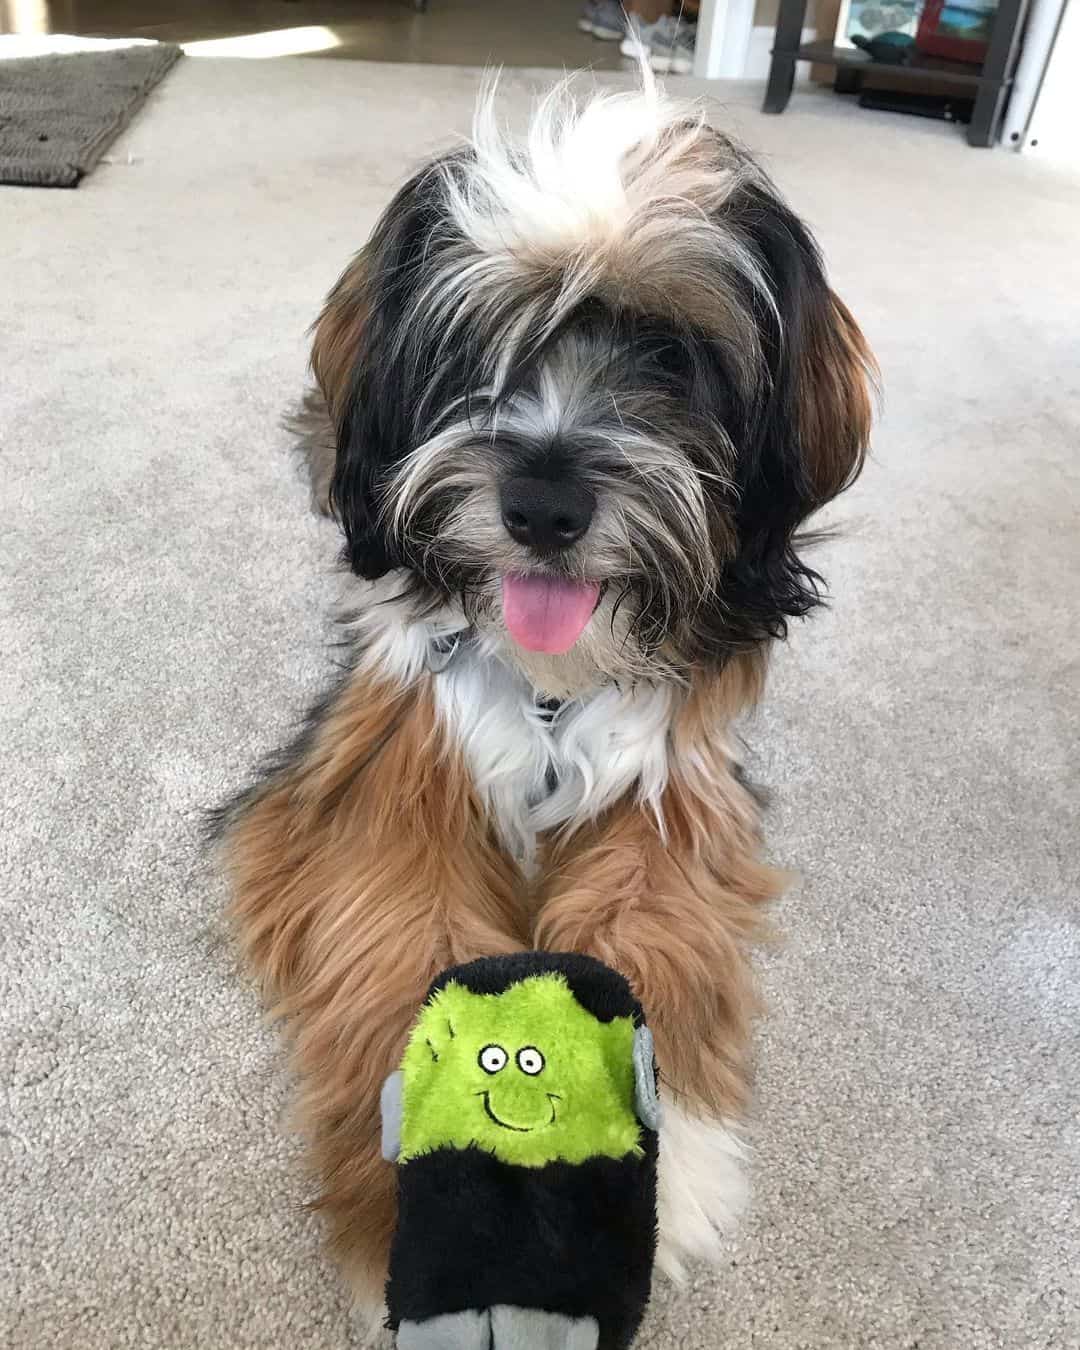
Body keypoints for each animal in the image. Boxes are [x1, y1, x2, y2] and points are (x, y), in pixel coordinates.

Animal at [213, 73, 874, 1306]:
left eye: (672, 355)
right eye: (481, 342)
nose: (545, 507)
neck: (551, 690)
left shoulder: (671, 795)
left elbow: (645, 944)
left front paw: (659, 1175)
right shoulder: (388, 773)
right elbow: (408, 939)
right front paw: (435, 1199)